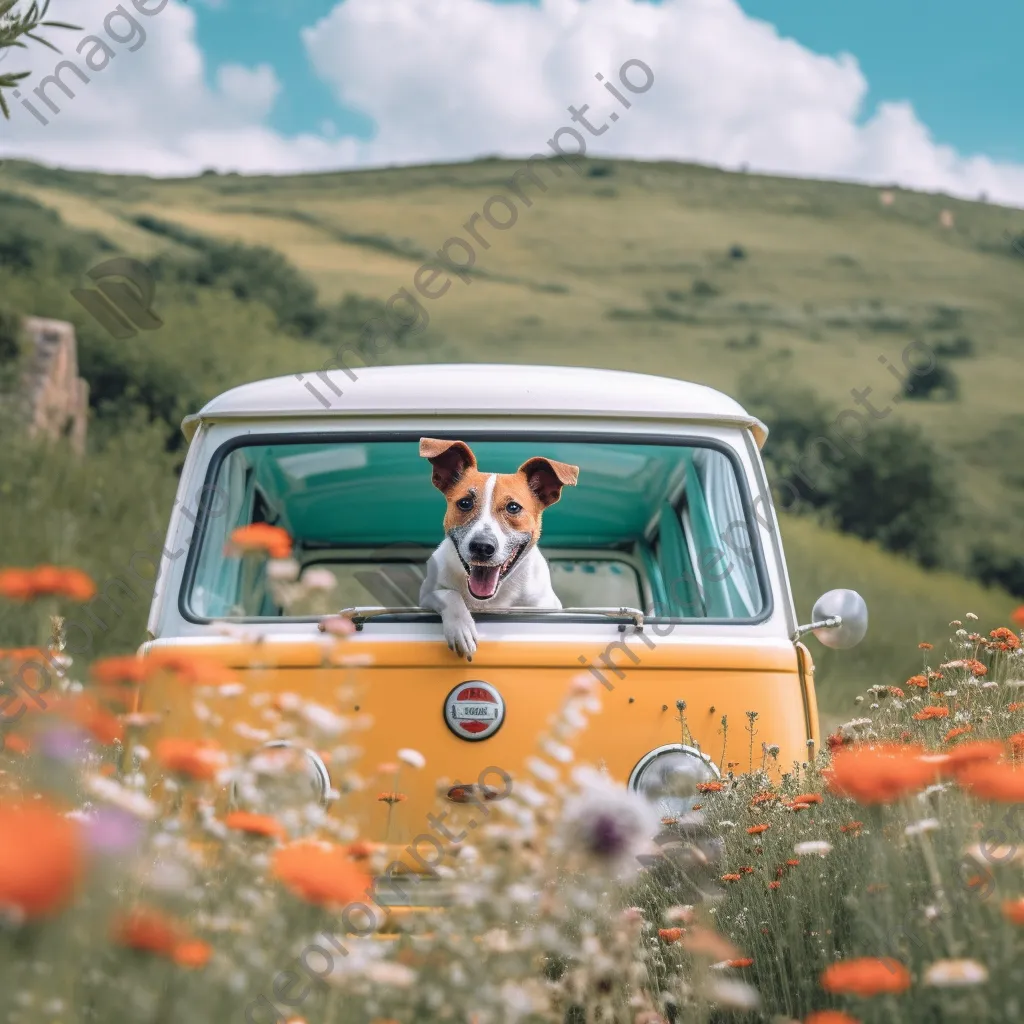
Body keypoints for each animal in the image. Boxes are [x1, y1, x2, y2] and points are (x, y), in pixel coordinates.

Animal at [415, 436, 577, 659]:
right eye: (465, 503)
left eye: (513, 507)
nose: (482, 546)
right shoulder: (426, 595)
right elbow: (450, 594)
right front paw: (461, 628)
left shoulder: (545, 606)